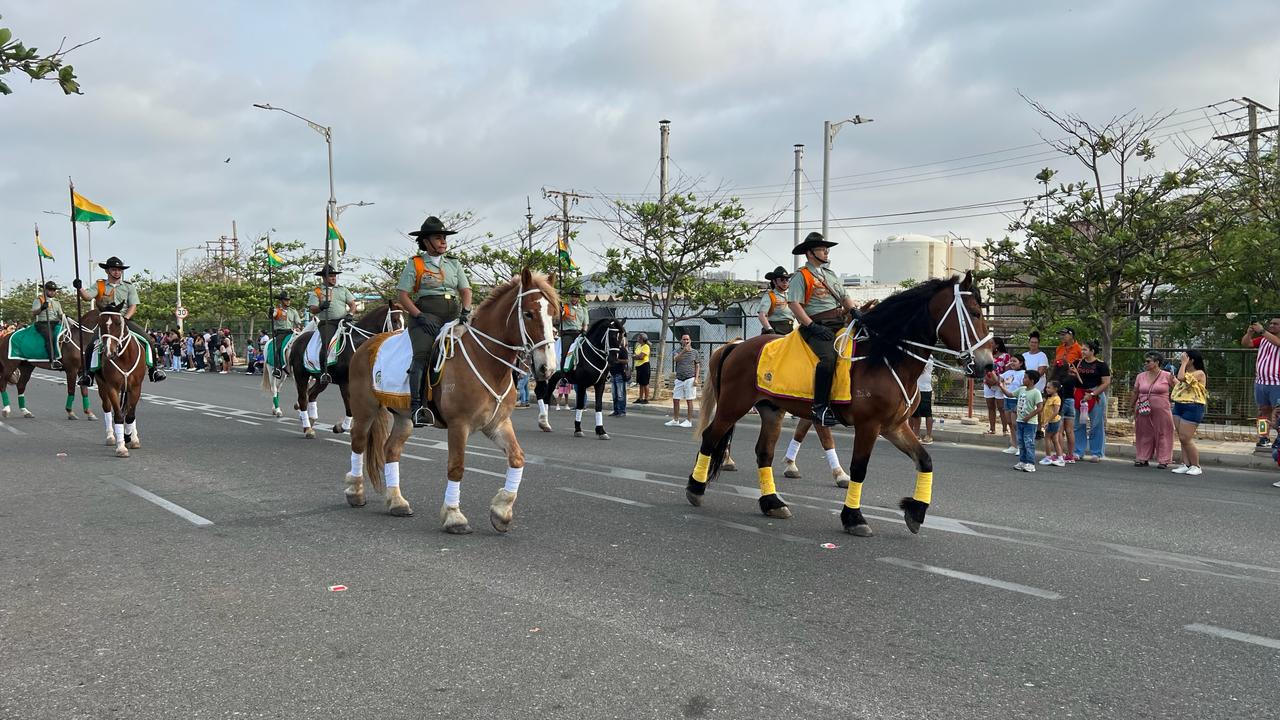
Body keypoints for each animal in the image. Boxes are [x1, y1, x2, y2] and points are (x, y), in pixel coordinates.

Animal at [93, 307, 147, 453]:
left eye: (118, 323)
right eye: (100, 324)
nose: (108, 352)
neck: (125, 357)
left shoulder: (136, 387)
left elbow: (130, 415)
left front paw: (129, 437)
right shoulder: (112, 387)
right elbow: (118, 416)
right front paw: (121, 446)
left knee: (129, 412)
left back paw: (133, 438)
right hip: (102, 386)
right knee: (107, 407)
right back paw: (111, 437)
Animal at [282, 303, 407, 438]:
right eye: (395, 320)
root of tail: (297, 340)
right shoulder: (345, 383)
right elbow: (349, 406)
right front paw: (341, 427)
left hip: (322, 380)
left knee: (311, 395)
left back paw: (311, 420)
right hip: (301, 375)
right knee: (303, 399)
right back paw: (307, 428)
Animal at [343, 266, 558, 530]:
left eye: (553, 314)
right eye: (528, 313)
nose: (547, 368)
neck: (486, 361)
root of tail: (368, 344)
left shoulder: (497, 424)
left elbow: (517, 458)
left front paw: (501, 510)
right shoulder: (459, 425)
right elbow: (456, 467)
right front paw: (454, 515)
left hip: (404, 417)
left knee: (390, 450)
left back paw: (397, 502)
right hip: (365, 408)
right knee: (358, 442)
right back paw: (355, 491)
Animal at [686, 271, 993, 535]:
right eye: (975, 313)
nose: (987, 364)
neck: (884, 357)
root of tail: (736, 345)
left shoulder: (894, 426)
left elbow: (925, 460)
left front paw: (916, 511)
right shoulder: (869, 426)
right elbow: (859, 468)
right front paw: (854, 517)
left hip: (772, 411)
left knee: (764, 453)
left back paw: (772, 502)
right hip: (733, 406)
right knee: (711, 437)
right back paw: (695, 489)